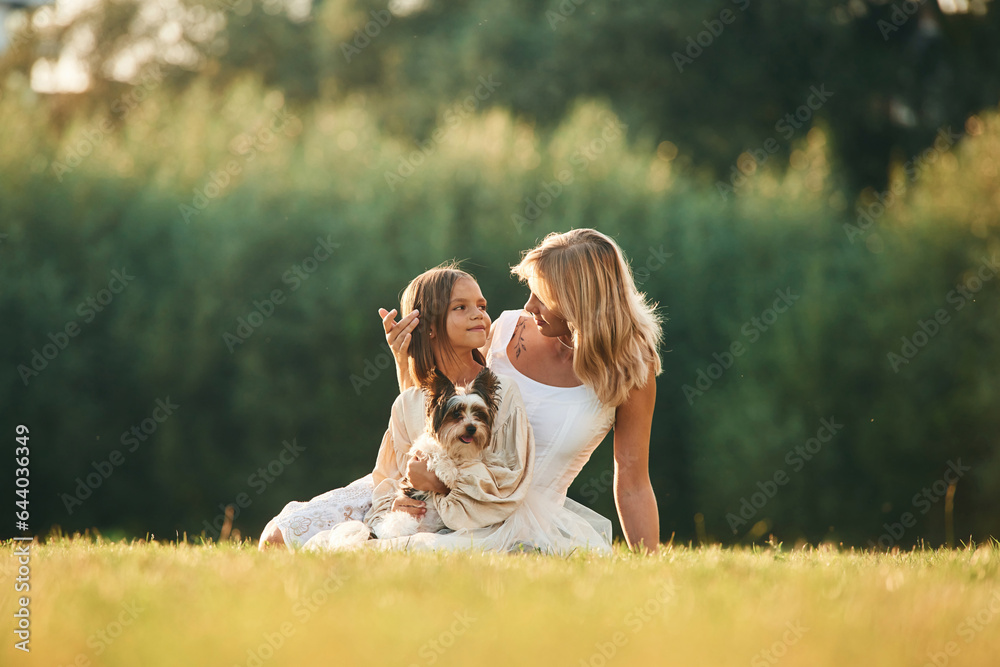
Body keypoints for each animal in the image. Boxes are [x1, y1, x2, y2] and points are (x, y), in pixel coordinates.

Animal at [324, 366, 500, 548]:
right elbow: (437, 455)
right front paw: (449, 473)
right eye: (456, 413)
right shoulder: (423, 449)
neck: (456, 449)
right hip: (404, 520)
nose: (472, 428)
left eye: (478, 414)